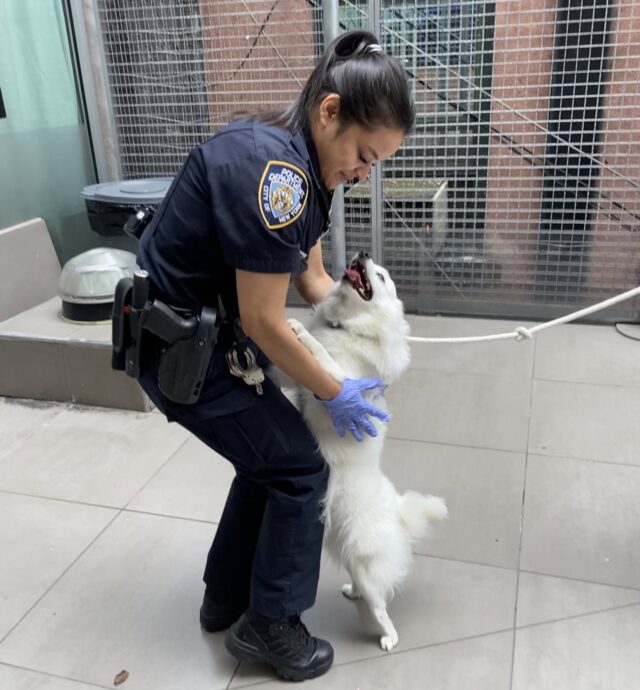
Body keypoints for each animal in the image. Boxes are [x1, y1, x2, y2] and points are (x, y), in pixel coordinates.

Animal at [288, 253, 448, 652]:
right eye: (372, 266)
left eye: (382, 277)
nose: (361, 255)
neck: (346, 327)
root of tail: (398, 517)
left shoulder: (338, 382)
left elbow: (322, 357)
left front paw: (300, 331)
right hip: (352, 556)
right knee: (366, 589)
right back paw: (353, 591)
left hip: (364, 560)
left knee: (380, 606)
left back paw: (389, 637)